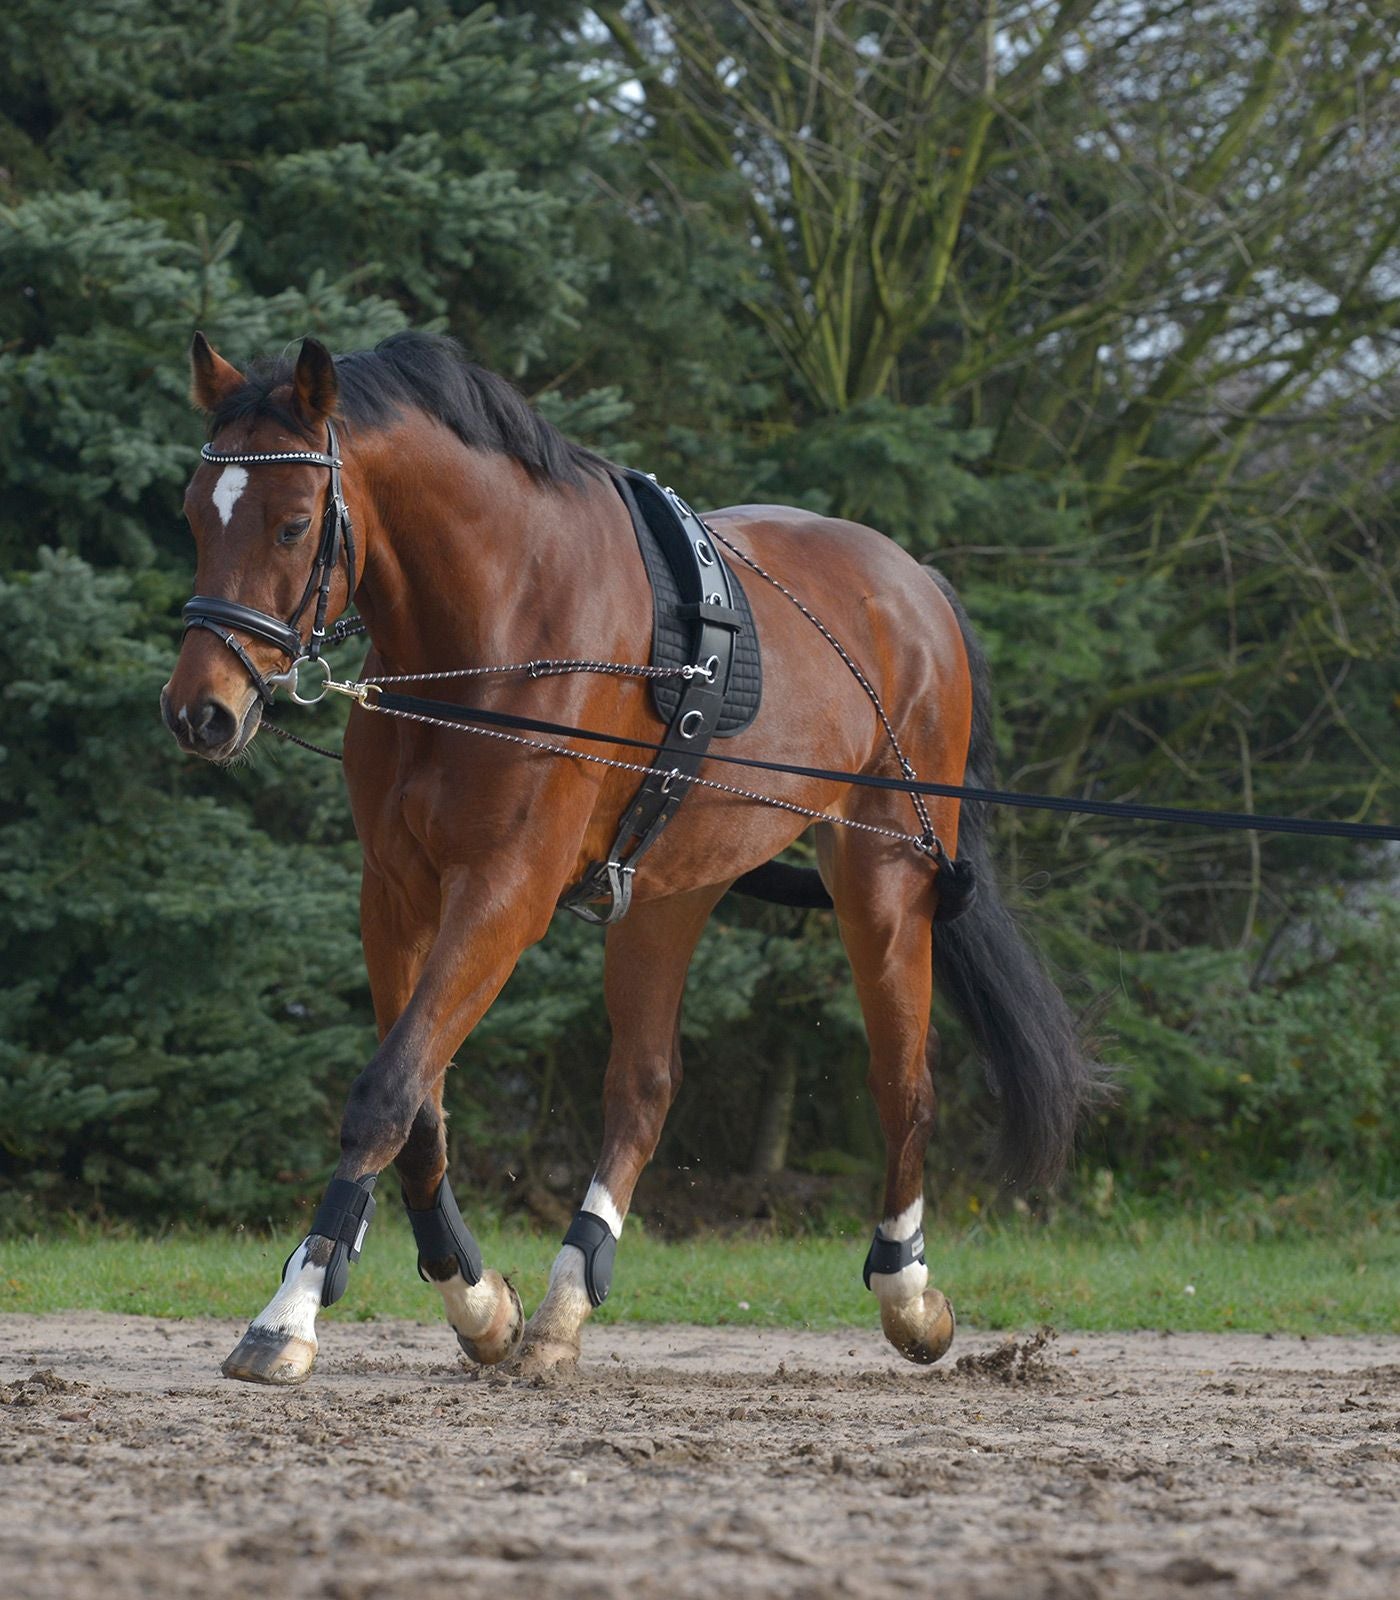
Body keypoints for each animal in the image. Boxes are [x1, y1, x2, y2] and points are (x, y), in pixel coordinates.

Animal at [162, 329, 1096, 1385]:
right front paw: (476, 1301)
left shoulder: (505, 891)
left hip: (883, 880)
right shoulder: (396, 890)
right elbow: (421, 1104)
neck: (496, 621)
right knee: (643, 1089)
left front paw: (290, 1312)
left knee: (903, 1084)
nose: (201, 711)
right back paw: (567, 1300)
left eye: (291, 525)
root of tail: (916, 585)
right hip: (666, 891)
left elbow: (386, 1092)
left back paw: (907, 1292)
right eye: (195, 512)